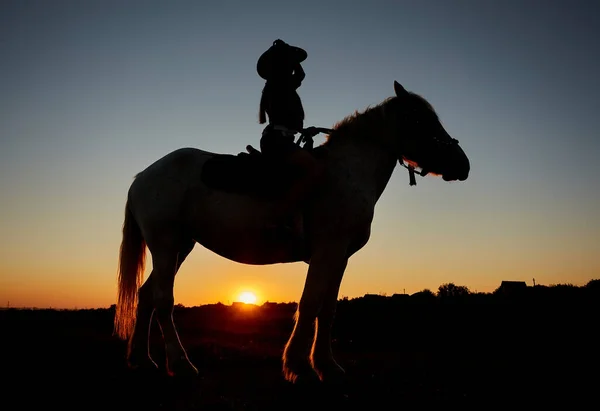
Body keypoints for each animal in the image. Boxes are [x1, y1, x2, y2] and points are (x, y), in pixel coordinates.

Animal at [112, 80, 468, 384]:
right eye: (421, 119)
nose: (463, 164)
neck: (346, 173)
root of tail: (143, 176)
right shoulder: (326, 252)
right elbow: (309, 303)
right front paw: (299, 366)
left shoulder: (340, 258)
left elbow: (328, 309)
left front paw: (327, 366)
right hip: (165, 245)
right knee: (162, 299)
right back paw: (181, 364)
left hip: (180, 247)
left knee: (146, 296)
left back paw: (142, 360)